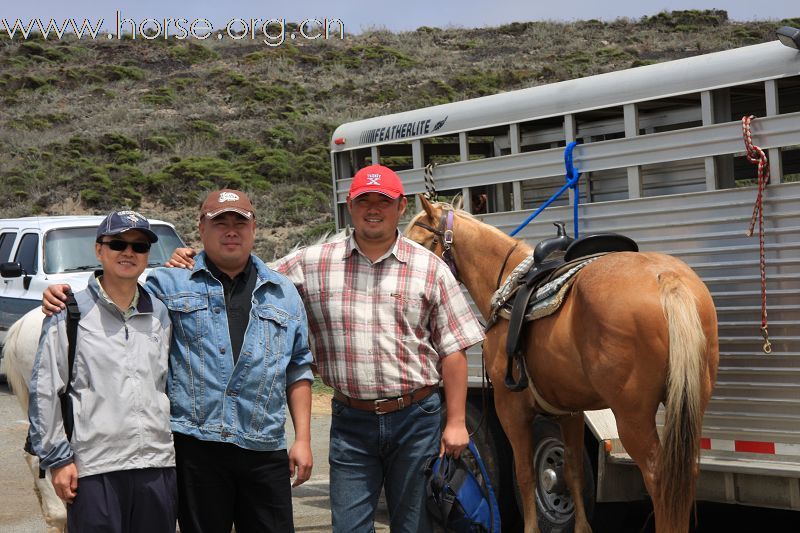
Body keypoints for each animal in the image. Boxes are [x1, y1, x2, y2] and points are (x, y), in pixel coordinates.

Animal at [406, 196, 720, 532]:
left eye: (420, 241)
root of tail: (666, 279)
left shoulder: (510, 409)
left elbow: (526, 474)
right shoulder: (570, 410)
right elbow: (572, 471)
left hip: (632, 416)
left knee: (659, 478)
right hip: (689, 405)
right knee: (684, 477)